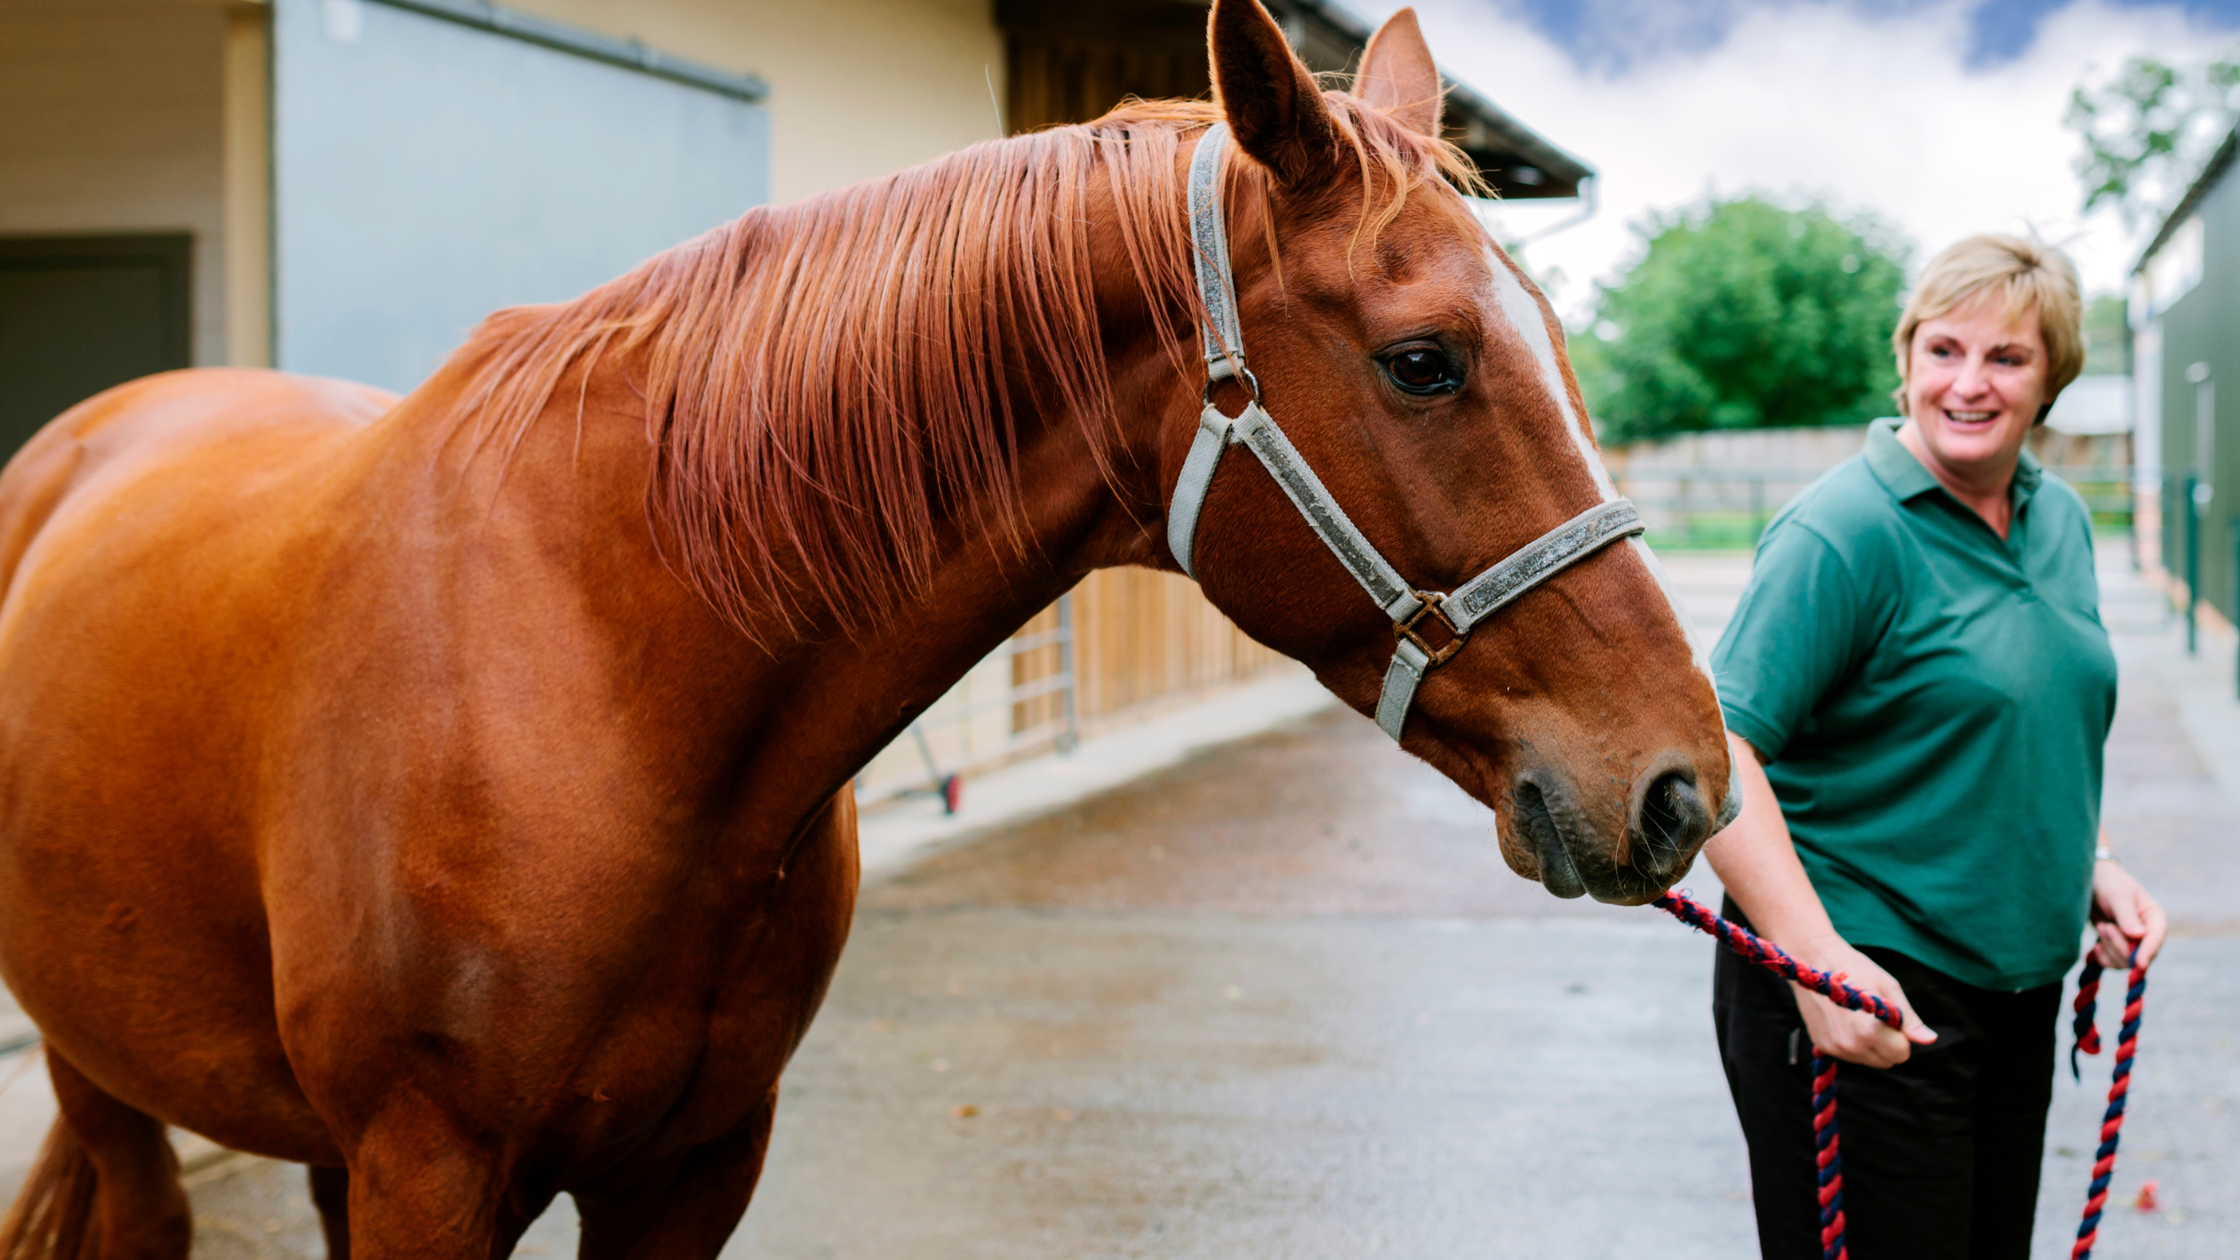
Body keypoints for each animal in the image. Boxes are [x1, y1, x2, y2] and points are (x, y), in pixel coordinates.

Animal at [0, 4, 1729, 1246]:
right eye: (1426, 360)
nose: (1683, 784)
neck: (601, 677)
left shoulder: (692, 1166)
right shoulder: (430, 1170)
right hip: (103, 1074)